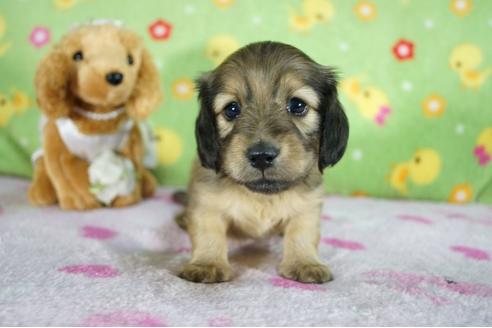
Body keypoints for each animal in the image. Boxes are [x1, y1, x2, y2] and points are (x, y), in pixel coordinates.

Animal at [178, 41, 350, 284]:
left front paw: (304, 262)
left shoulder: (308, 206)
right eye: (232, 109)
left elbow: (303, 233)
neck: (262, 197)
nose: (261, 155)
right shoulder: (206, 203)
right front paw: (207, 263)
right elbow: (208, 233)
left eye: (297, 105)